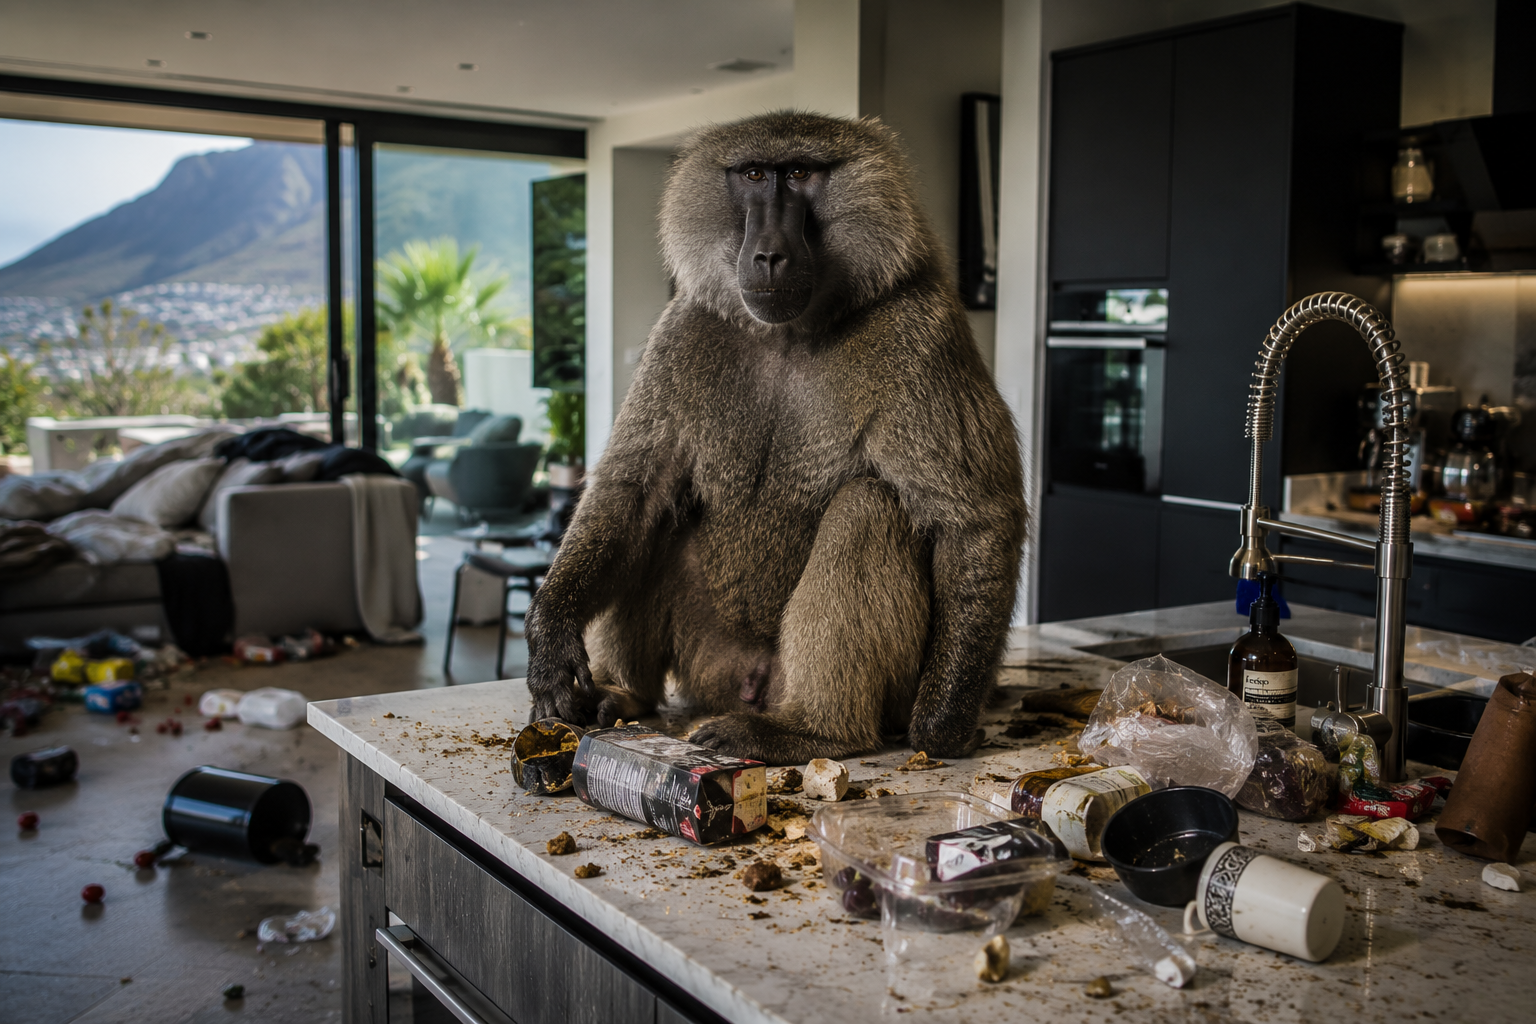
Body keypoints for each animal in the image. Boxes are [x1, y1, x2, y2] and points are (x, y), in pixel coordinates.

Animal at [524, 111, 1025, 765]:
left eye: (802, 174)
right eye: (755, 174)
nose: (767, 256)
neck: (789, 331)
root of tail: (754, 683)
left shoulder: (920, 334)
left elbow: (974, 519)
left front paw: (944, 725)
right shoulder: (683, 330)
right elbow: (630, 492)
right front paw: (551, 641)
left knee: (866, 508)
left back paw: (816, 730)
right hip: (709, 660)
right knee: (661, 510)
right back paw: (624, 695)